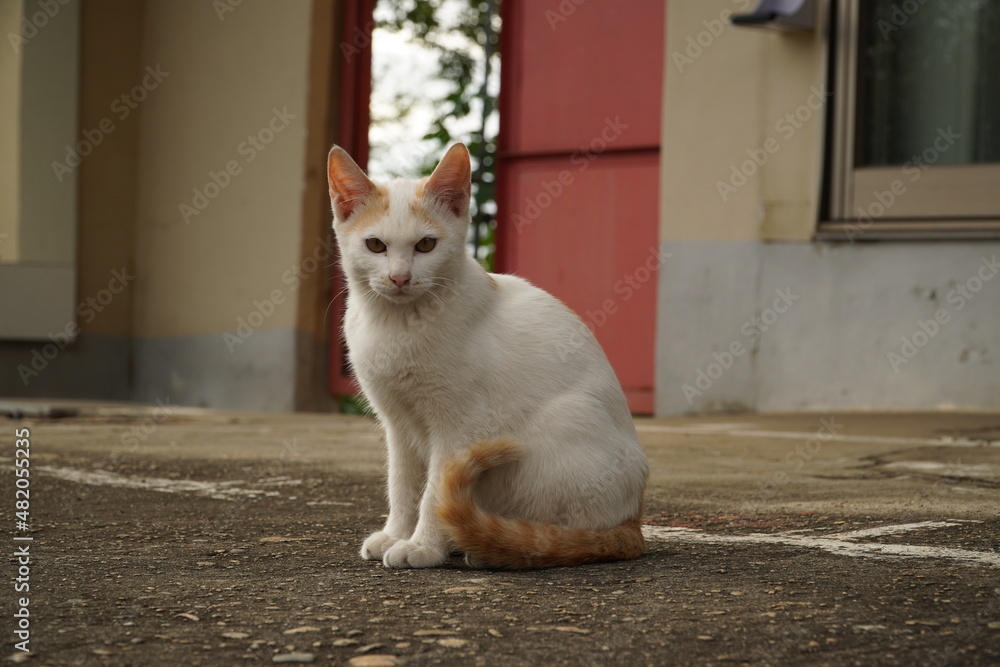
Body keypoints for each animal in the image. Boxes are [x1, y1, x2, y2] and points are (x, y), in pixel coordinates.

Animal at [326, 142, 648, 568]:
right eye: (375, 245)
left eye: (425, 245)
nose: (399, 277)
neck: (398, 325)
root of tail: (634, 521)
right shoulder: (397, 424)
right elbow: (402, 483)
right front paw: (397, 533)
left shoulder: (461, 426)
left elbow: (435, 491)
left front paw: (422, 545)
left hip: (563, 425)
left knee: (564, 530)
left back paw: (497, 544)